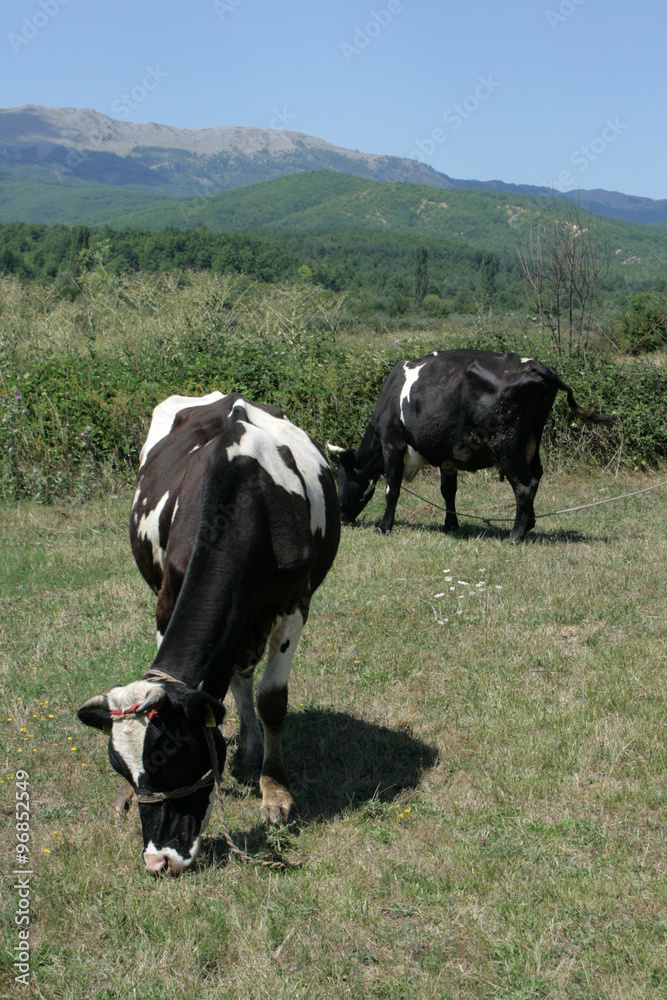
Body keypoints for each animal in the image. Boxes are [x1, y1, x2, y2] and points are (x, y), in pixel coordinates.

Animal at [76, 392, 342, 876]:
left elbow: (272, 700)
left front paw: (275, 791)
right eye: (122, 769)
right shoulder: (166, 600)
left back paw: (252, 754)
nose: (158, 860)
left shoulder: (294, 604)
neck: (246, 498)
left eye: (175, 758)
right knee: (235, 675)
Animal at [326, 348, 612, 544]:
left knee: (525, 484)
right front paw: (451, 525)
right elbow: (448, 491)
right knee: (537, 476)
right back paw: (528, 523)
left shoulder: (392, 443)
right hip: (532, 440)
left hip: (506, 445)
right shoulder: (447, 455)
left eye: (339, 476)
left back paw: (515, 534)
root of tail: (537, 366)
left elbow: (391, 489)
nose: (342, 518)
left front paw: (384, 526)